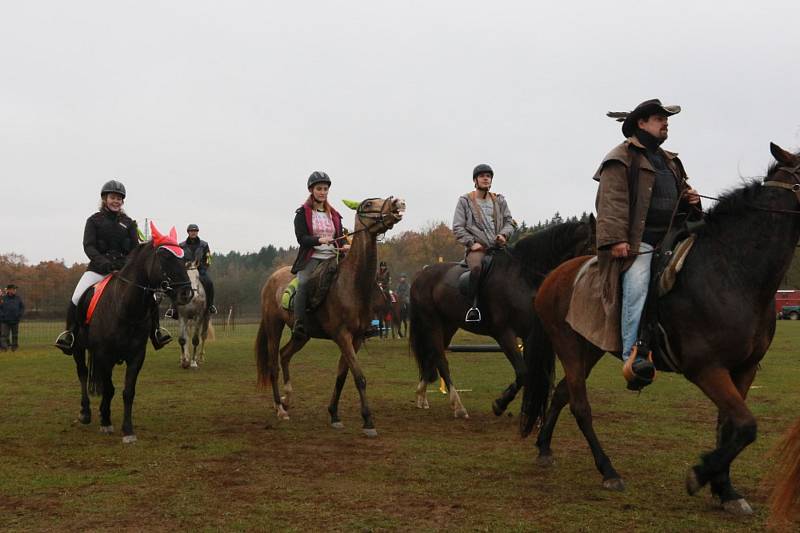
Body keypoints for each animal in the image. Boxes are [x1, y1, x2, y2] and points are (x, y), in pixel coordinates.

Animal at [256, 195, 406, 436]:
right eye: (367, 205)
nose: (397, 202)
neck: (352, 284)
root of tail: (272, 279)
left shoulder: (356, 338)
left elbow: (342, 376)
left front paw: (334, 414)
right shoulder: (342, 336)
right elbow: (359, 377)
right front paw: (368, 421)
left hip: (302, 334)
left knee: (285, 354)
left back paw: (287, 398)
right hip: (274, 327)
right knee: (273, 365)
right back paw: (280, 408)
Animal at [412, 218, 592, 418]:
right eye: (592, 246)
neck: (522, 278)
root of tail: (422, 274)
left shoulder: (530, 335)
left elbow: (532, 372)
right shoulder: (504, 333)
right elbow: (523, 372)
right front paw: (500, 404)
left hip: (449, 325)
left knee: (432, 357)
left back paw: (421, 397)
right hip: (432, 323)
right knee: (441, 360)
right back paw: (458, 406)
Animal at [520, 143, 800, 512]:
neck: (732, 272)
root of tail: (553, 277)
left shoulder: (744, 369)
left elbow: (729, 427)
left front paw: (725, 489)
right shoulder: (706, 368)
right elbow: (744, 426)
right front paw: (700, 474)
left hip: (590, 349)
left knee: (563, 393)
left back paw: (544, 448)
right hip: (568, 347)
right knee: (580, 405)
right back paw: (608, 470)